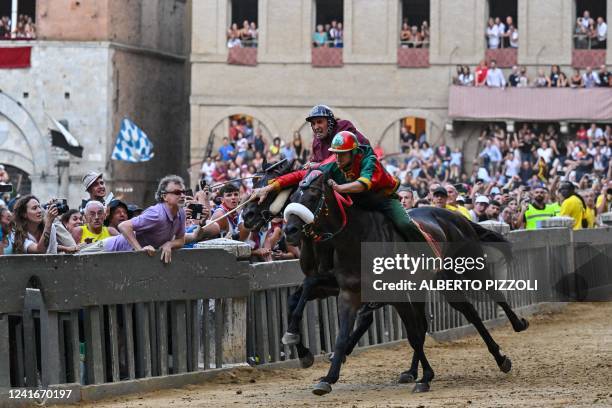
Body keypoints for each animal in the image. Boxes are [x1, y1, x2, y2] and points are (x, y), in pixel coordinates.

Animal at [284, 171, 528, 396]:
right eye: (292, 196)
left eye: (313, 194)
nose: (289, 230)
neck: (356, 239)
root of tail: (456, 217)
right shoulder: (347, 291)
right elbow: (338, 330)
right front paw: (325, 374)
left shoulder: (393, 293)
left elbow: (413, 335)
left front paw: (426, 377)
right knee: (456, 314)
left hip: (467, 268)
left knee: (486, 299)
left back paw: (514, 333)